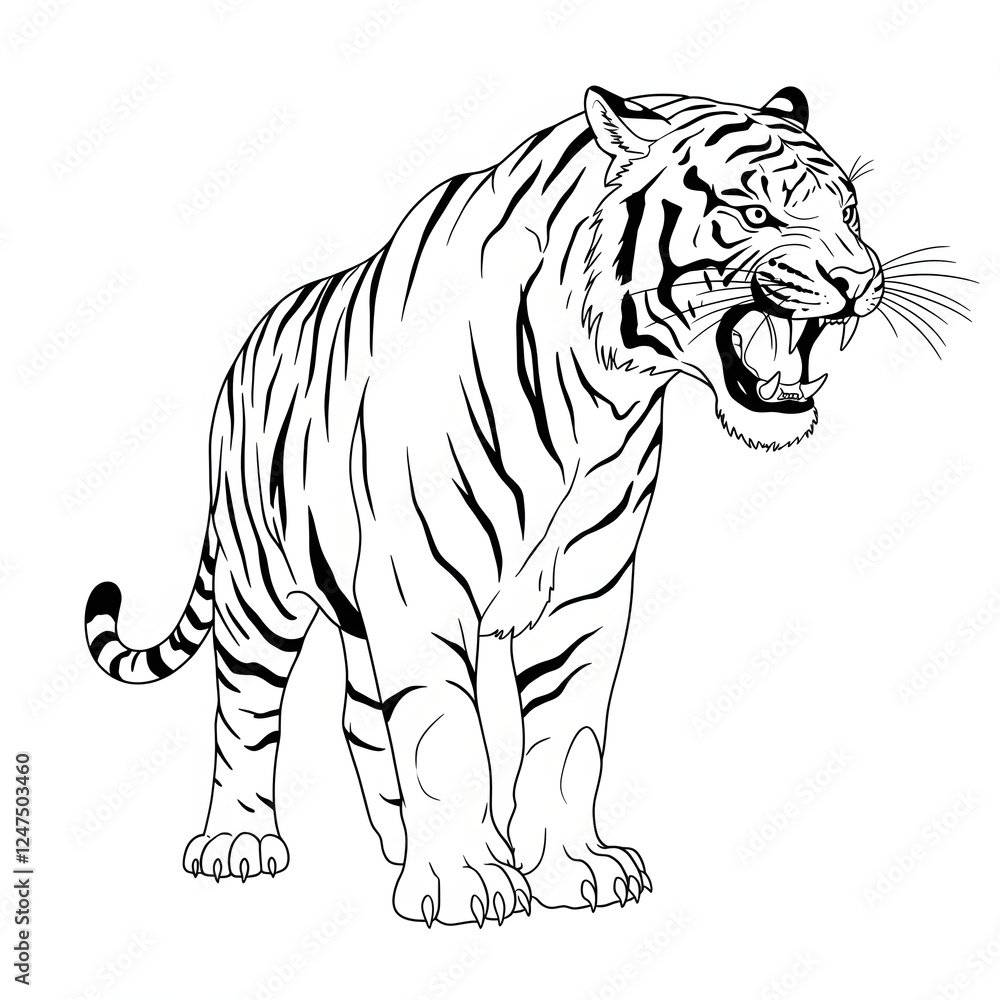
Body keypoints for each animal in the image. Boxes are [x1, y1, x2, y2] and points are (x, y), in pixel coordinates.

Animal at [85, 84, 890, 926]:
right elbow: (444, 735)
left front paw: (574, 866)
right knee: (245, 712)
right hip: (259, 586)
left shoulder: (587, 590)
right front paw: (464, 880)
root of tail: (248, 343)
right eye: (756, 214)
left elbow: (568, 737)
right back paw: (239, 845)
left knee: (358, 714)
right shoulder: (420, 589)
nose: (861, 279)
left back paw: (396, 845)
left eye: (851, 212)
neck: (603, 399)